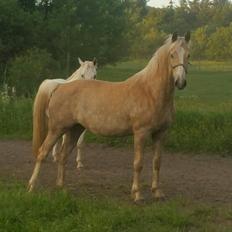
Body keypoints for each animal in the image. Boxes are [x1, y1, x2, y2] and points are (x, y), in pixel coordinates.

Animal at [28, 32, 190, 201]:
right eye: (172, 54)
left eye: (188, 55)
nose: (180, 82)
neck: (150, 91)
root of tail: (60, 86)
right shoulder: (141, 133)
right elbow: (138, 163)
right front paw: (137, 194)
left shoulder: (161, 133)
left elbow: (157, 162)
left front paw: (157, 192)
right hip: (57, 129)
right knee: (42, 153)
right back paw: (32, 187)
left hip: (75, 129)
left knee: (63, 156)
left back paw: (61, 188)